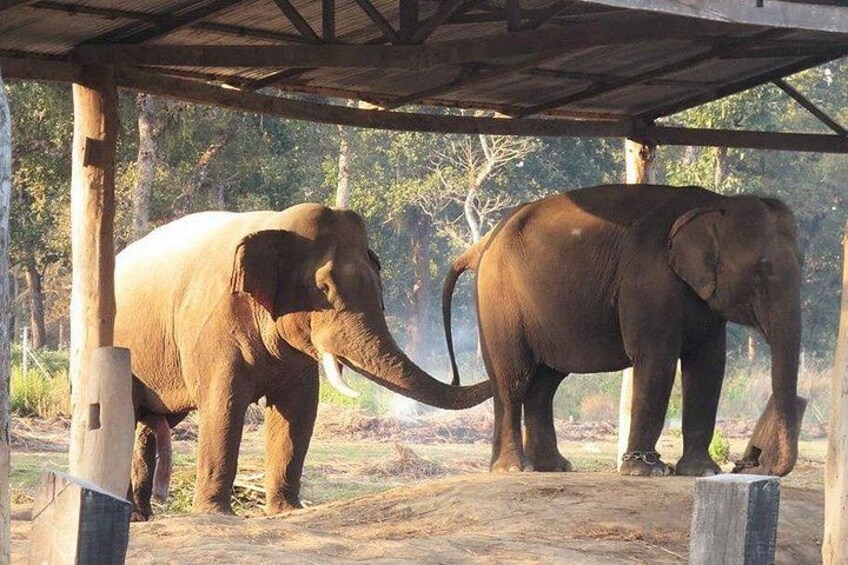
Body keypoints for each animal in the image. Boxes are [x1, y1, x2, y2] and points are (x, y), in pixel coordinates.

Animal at [115, 203, 491, 518]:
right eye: (324, 289)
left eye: (378, 285)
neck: (274, 223)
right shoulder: (211, 329)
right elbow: (224, 405)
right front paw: (215, 514)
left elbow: (299, 410)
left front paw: (286, 510)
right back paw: (132, 513)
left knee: (151, 422)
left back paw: (141, 515)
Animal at [442, 184, 802, 478]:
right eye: (761, 272)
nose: (751, 462)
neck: (716, 203)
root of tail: (483, 243)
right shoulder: (647, 280)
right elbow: (657, 361)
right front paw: (647, 470)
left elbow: (709, 367)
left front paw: (702, 472)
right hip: (499, 300)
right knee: (513, 378)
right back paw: (513, 468)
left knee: (544, 382)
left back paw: (552, 466)